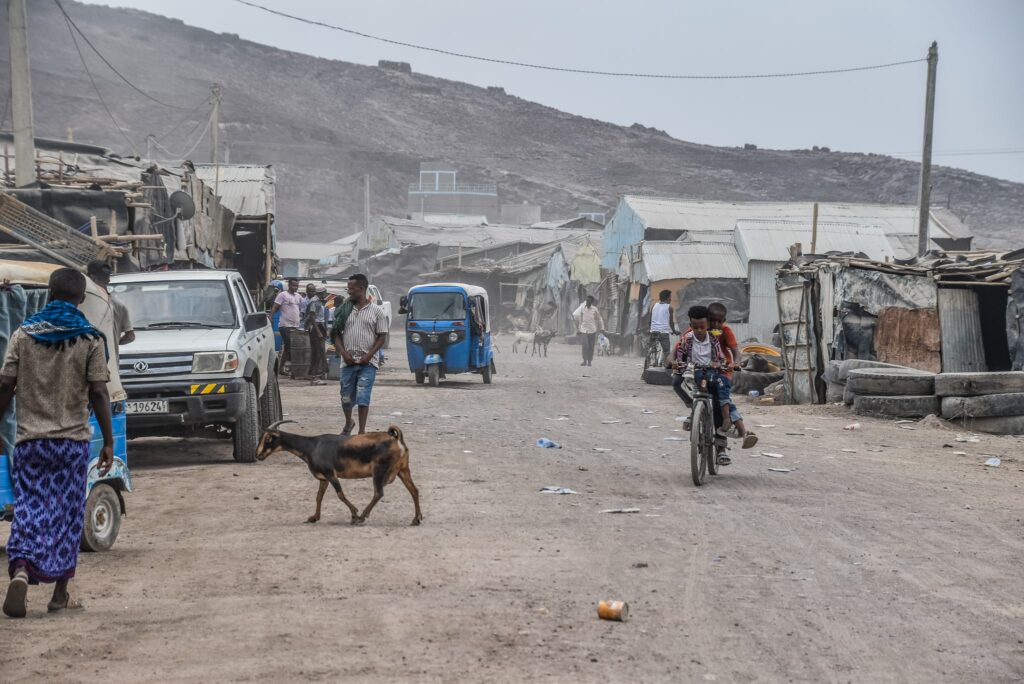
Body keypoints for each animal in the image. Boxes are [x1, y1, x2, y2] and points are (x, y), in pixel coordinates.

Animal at [258, 419, 421, 528]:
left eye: (268, 438)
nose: (258, 455)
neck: (312, 446)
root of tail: (396, 438)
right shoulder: (323, 478)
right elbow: (319, 497)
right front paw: (314, 517)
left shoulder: (331, 474)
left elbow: (340, 495)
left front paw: (354, 514)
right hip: (403, 469)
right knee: (414, 490)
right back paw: (416, 519)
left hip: (379, 470)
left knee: (378, 493)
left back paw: (361, 517)